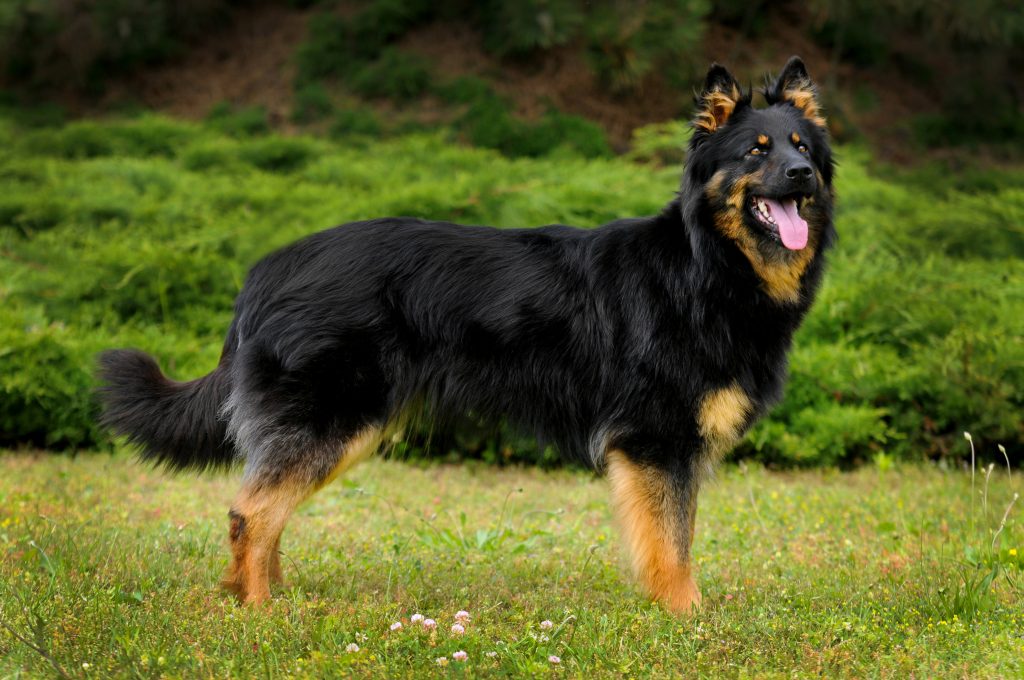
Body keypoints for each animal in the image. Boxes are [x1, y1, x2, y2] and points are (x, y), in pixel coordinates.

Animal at [94, 57, 831, 610]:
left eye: (802, 148)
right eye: (756, 151)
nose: (804, 176)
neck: (707, 266)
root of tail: (267, 270)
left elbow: (673, 540)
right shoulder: (657, 442)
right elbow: (672, 548)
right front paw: (685, 619)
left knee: (261, 508)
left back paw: (267, 595)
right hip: (335, 419)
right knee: (251, 512)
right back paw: (258, 611)